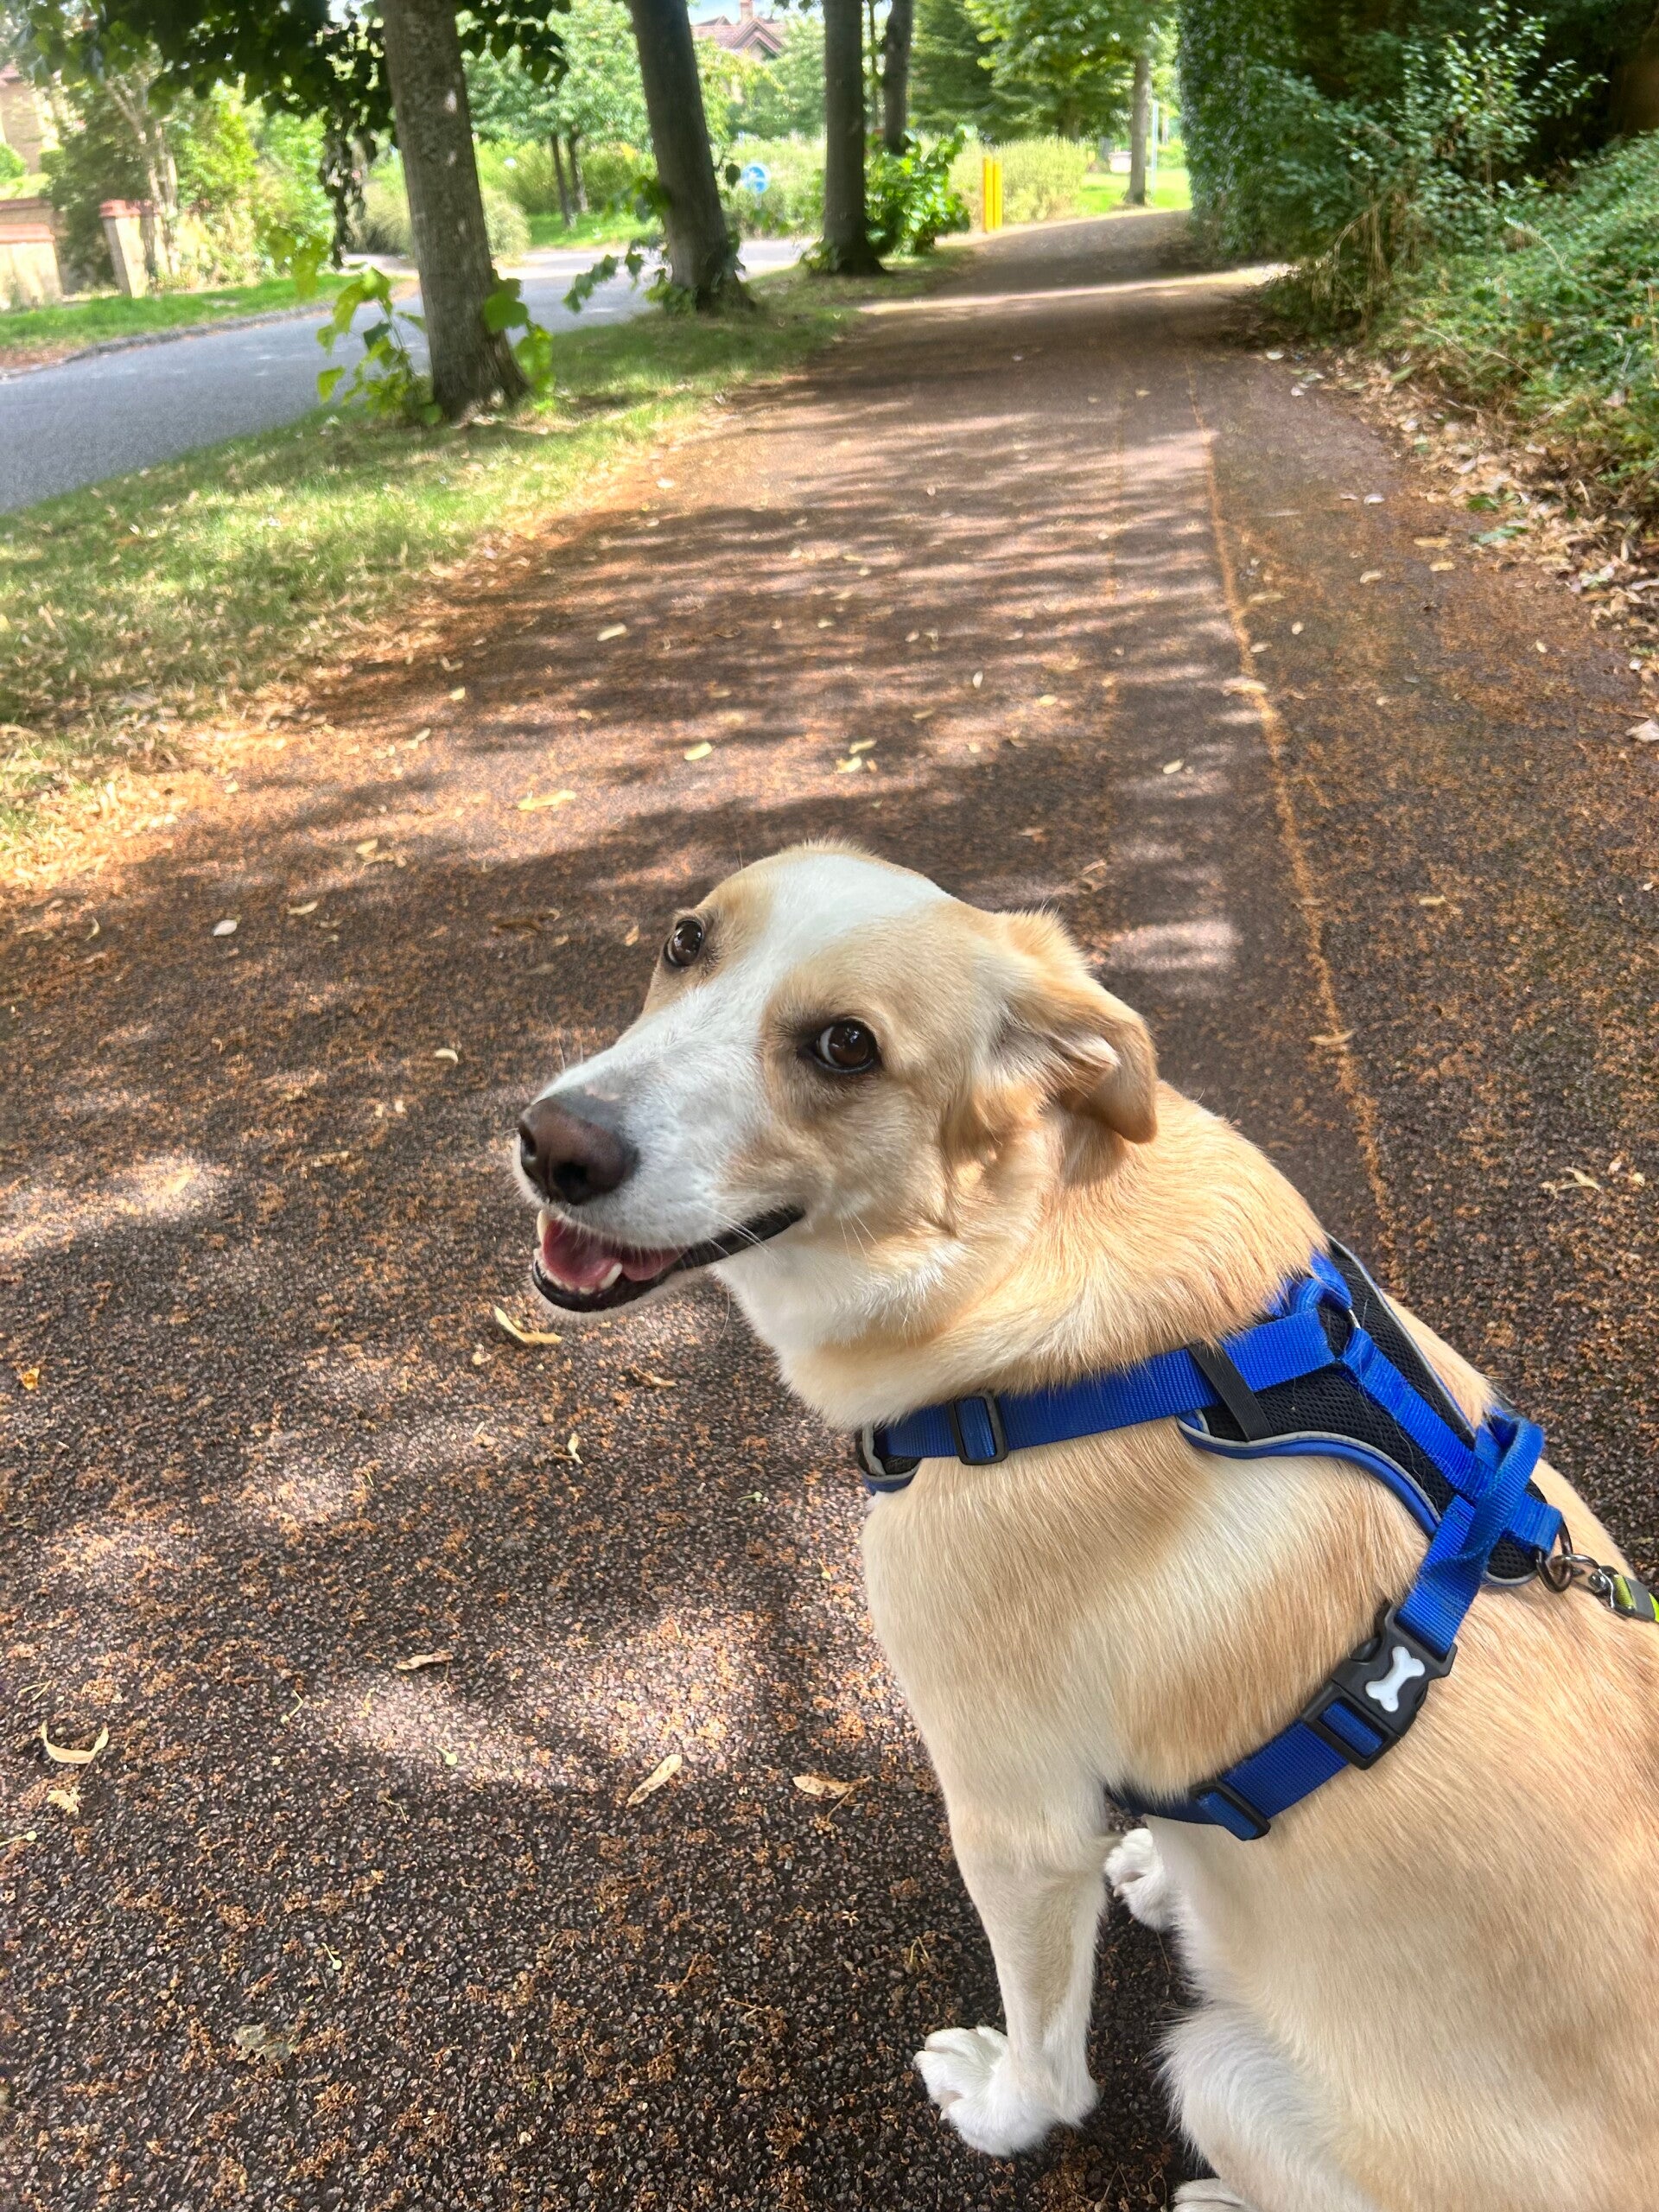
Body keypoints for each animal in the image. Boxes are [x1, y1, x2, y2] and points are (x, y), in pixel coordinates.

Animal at [514, 843, 1659, 2211]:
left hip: (1215, 2066)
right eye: (685, 940)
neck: (1021, 1260)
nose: (551, 1146)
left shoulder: (1013, 1821)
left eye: (846, 1047)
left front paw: (1000, 2107)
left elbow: (1050, 2060)